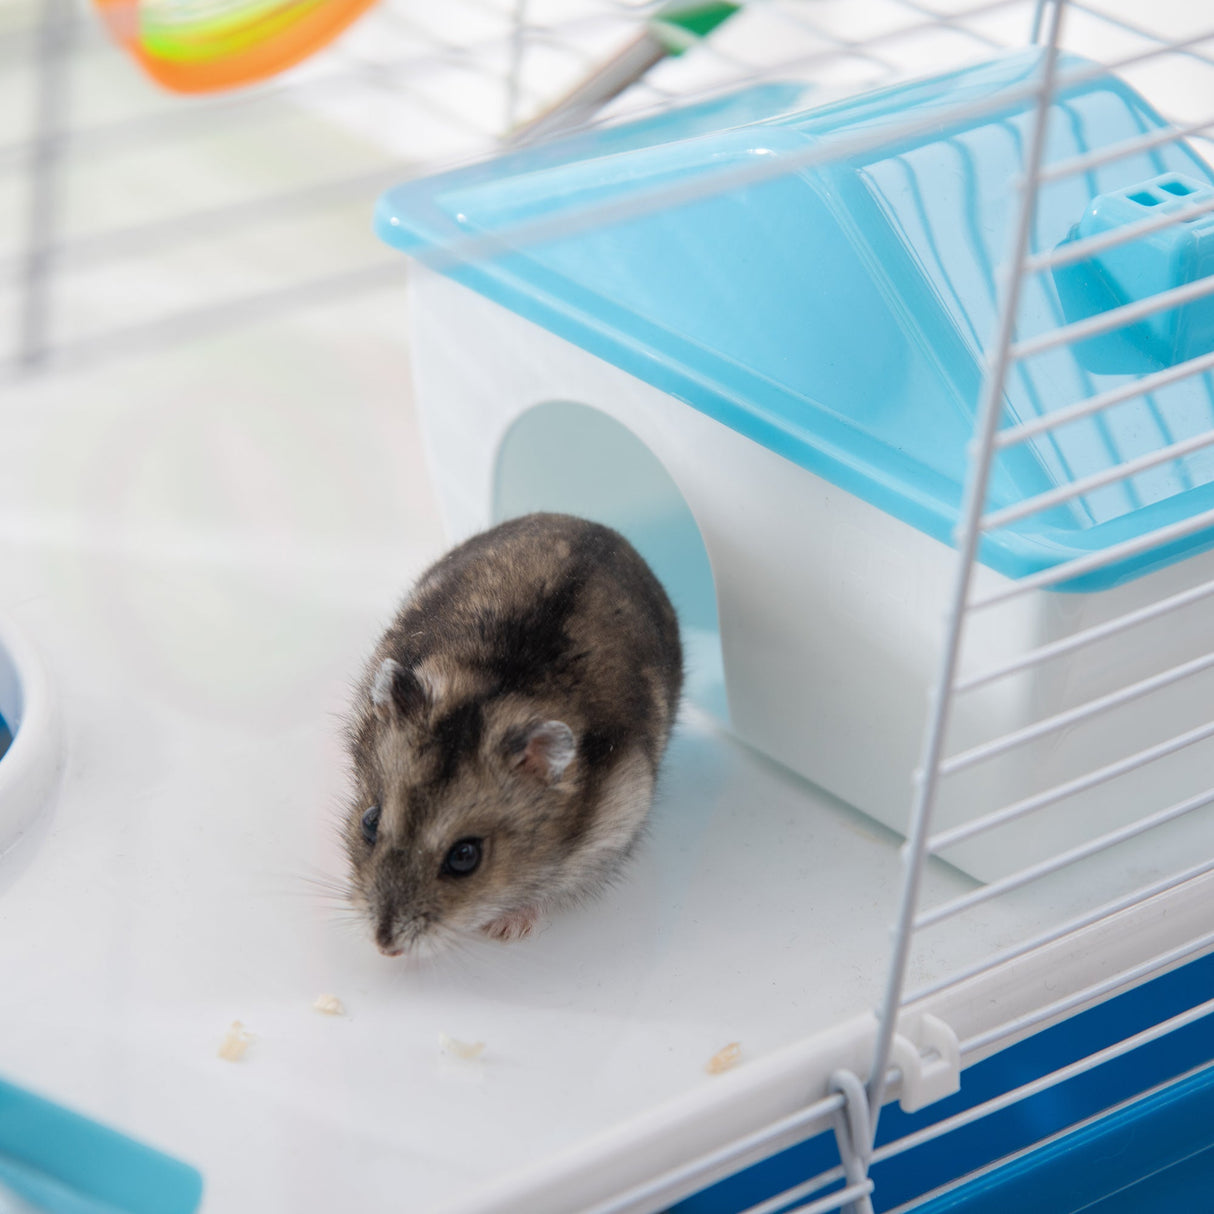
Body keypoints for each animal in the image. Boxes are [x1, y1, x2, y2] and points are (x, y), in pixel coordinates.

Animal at [343, 512, 683, 958]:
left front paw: (506, 930)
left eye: (465, 857)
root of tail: (599, 525)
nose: (384, 947)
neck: (498, 689)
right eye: (369, 822)